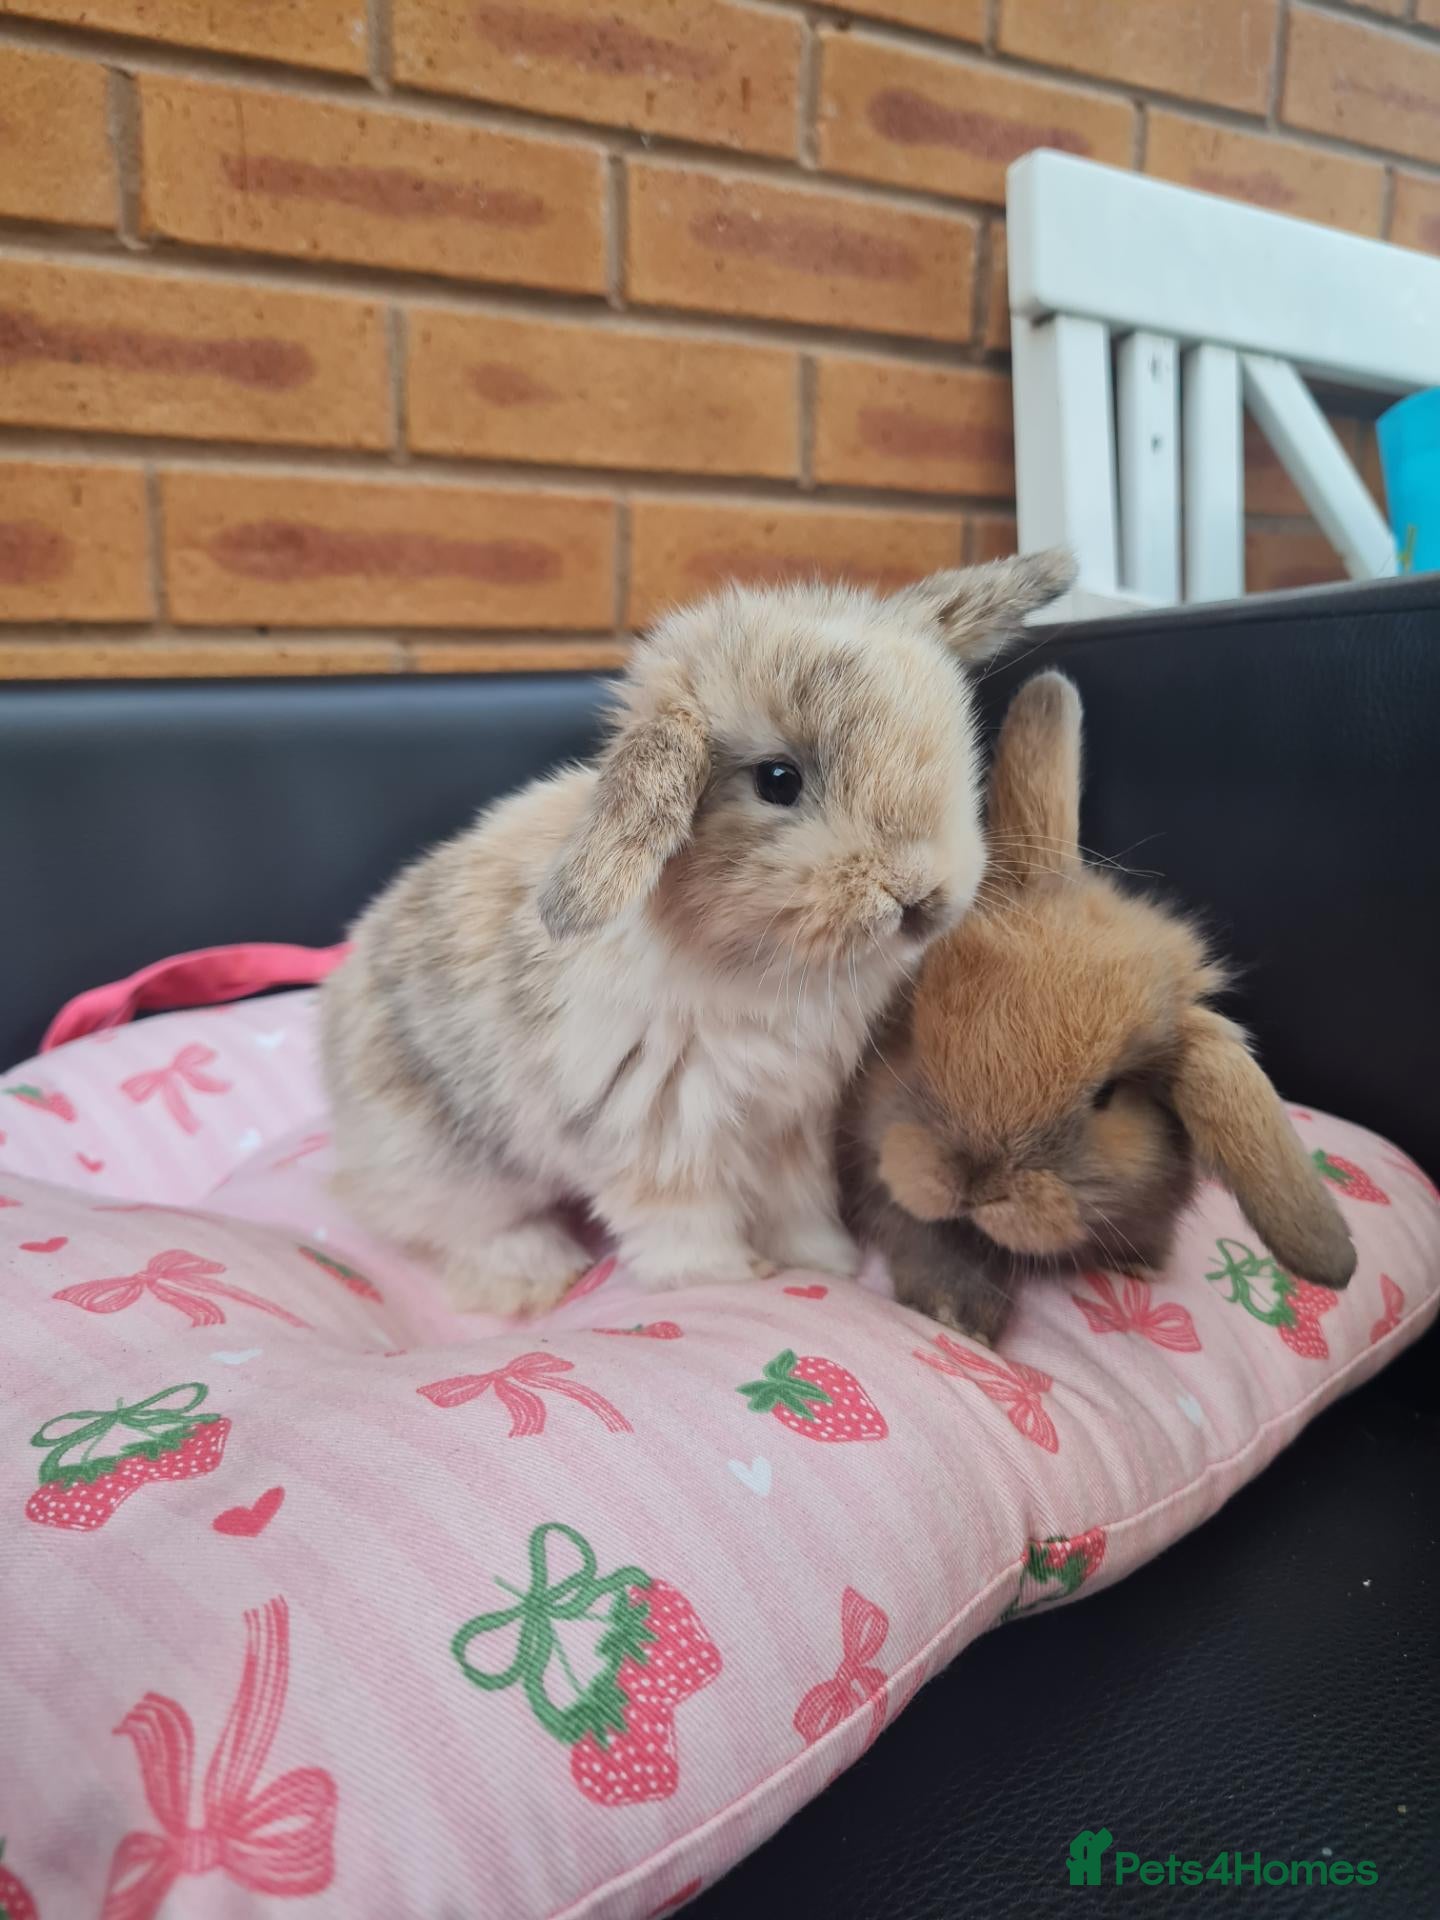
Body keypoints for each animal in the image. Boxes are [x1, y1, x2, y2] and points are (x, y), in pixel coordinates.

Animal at [320, 551, 1076, 1316]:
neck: (759, 963)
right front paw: (724, 1278)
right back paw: (536, 1272)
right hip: (453, 1165)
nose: (924, 896)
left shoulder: (791, 1121)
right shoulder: (659, 1132)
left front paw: (821, 1261)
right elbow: (682, 1219)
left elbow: (796, 1201)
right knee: (457, 1226)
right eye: (778, 780)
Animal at [841, 668, 1356, 1345]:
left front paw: (1139, 1264)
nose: (974, 1180)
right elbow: (930, 1236)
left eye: (1107, 1095)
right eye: (916, 1035)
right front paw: (958, 1319)